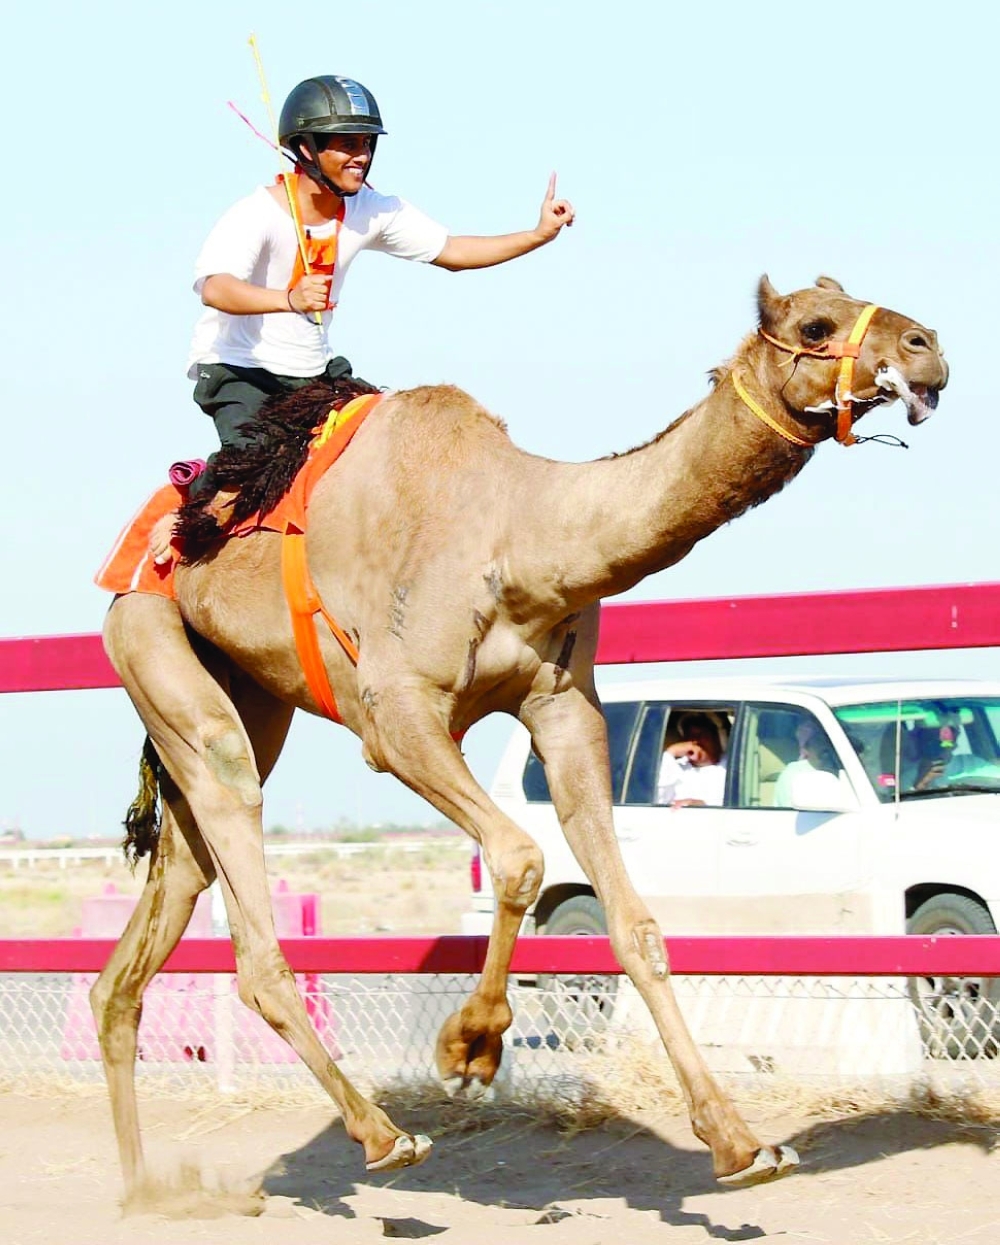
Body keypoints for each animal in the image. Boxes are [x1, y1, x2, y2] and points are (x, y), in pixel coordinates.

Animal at [93, 275, 947, 1209]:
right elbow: (519, 857)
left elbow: (636, 925)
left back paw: (146, 1189)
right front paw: (469, 1046)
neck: (520, 534)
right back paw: (382, 1135)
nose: (927, 347)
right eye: (817, 325)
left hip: (243, 695)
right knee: (241, 865)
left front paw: (740, 1142)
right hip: (149, 642)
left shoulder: (566, 707)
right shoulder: (396, 712)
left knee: (151, 920)